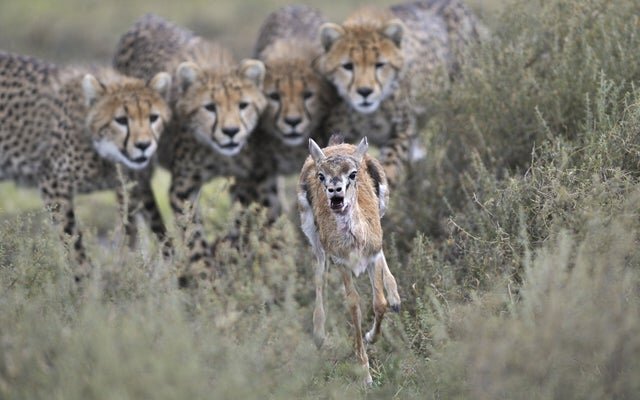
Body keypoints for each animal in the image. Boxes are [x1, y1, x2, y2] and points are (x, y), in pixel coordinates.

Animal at [0, 50, 171, 282]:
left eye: (153, 118)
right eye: (121, 120)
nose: (144, 145)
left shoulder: (133, 186)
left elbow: (143, 229)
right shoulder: (53, 184)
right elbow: (72, 239)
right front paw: (85, 282)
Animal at [112, 14, 268, 284]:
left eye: (243, 105)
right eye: (210, 107)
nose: (230, 132)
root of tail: (147, 18)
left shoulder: (248, 180)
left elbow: (241, 221)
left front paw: (230, 252)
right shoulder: (183, 189)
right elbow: (193, 235)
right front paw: (205, 276)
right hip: (135, 168)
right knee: (138, 214)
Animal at [316, 0, 484, 186]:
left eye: (380, 64)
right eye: (348, 66)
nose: (365, 92)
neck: (367, 115)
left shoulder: (403, 128)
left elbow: (389, 164)